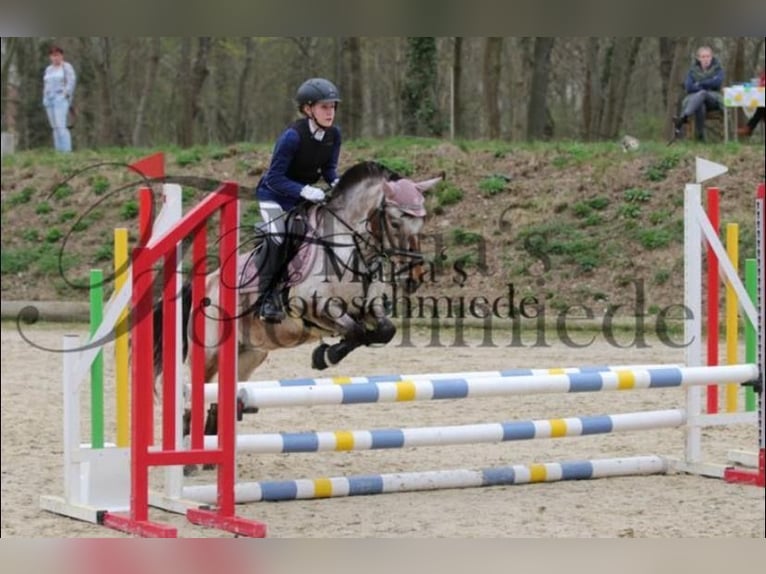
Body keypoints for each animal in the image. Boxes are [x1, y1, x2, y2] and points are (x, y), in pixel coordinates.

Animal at [153, 161, 444, 460]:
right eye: (395, 222)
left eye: (422, 222)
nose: (413, 278)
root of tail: (206, 282)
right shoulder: (317, 308)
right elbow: (356, 331)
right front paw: (325, 356)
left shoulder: (369, 308)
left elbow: (383, 331)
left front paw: (326, 353)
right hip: (210, 352)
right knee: (195, 392)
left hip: (249, 355)